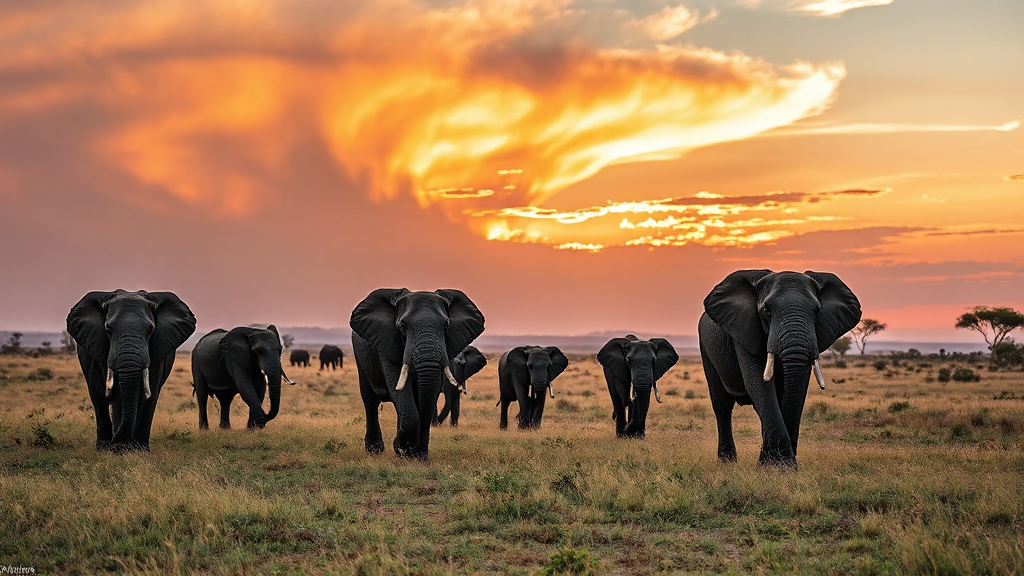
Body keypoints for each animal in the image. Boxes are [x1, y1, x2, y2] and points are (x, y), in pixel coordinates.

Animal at [66, 290, 196, 452]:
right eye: (108, 329)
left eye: (150, 330)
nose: (115, 443)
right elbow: (102, 395)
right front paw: (110, 450)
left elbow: (149, 396)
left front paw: (140, 450)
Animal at [350, 288, 485, 458]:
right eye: (403, 326)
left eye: (446, 326)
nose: (400, 445)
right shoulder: (388, 343)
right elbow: (399, 388)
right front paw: (404, 448)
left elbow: (429, 393)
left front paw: (416, 455)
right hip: (360, 355)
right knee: (370, 400)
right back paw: (375, 452)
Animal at [698, 270, 861, 467]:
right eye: (766, 310)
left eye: (817, 310)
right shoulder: (746, 329)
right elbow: (759, 384)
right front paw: (780, 467)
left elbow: (795, 389)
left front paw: (774, 465)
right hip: (706, 348)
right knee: (722, 404)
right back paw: (727, 463)